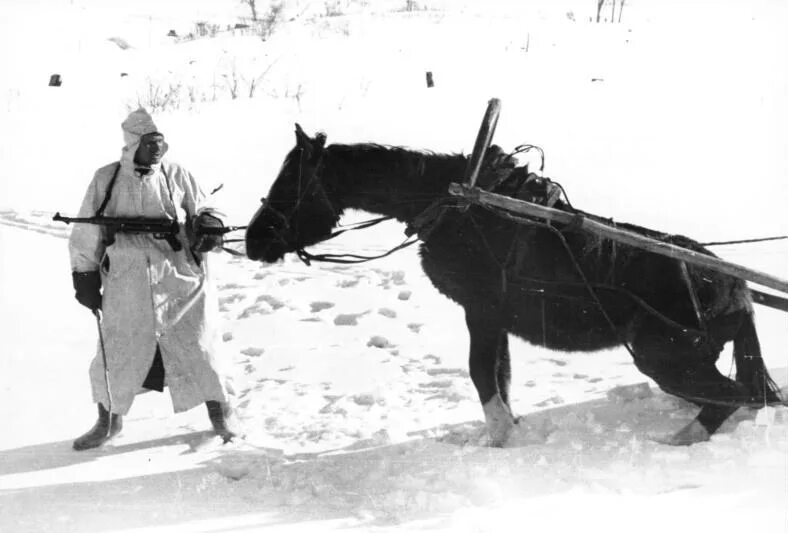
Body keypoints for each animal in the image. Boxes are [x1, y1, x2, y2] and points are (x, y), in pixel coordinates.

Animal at [248, 123, 780, 444]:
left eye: (291, 184)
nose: (254, 239)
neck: (459, 207)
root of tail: (737, 288)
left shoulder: (480, 312)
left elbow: (483, 374)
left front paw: (500, 436)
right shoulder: (493, 318)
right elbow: (500, 373)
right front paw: (508, 428)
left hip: (664, 358)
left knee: (737, 397)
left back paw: (679, 440)